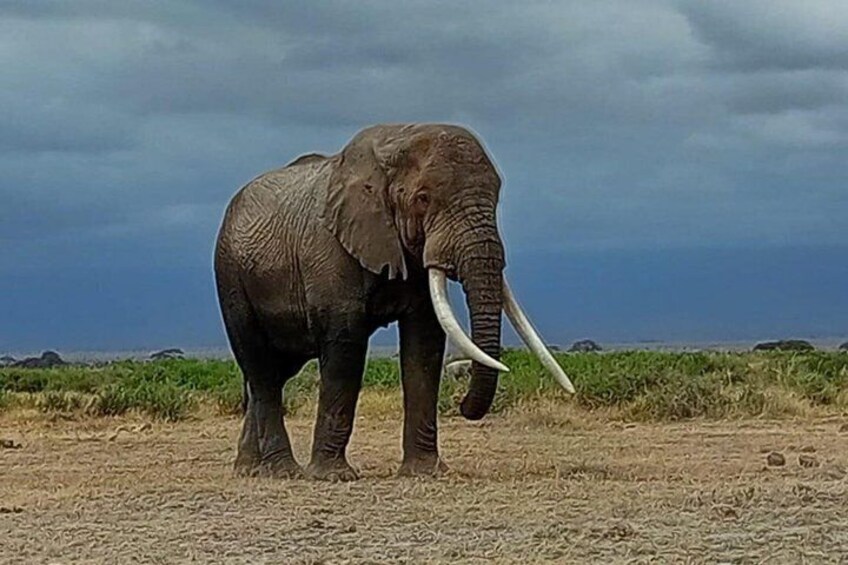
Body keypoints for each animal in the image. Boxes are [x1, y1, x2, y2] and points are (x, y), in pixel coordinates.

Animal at [214, 123, 573, 481]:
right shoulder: (329, 249)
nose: (462, 405)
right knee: (261, 368)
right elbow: (345, 348)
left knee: (273, 373)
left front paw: (425, 472)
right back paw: (282, 471)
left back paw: (250, 469)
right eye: (423, 198)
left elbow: (424, 344)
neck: (394, 146)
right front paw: (334, 476)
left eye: (496, 199)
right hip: (231, 277)